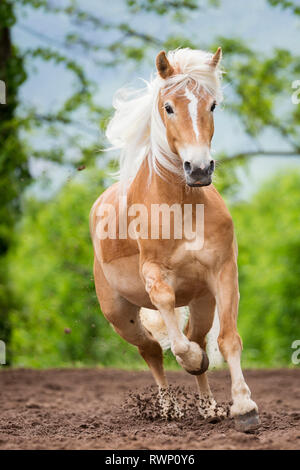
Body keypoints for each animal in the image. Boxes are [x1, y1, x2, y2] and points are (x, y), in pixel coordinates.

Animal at [89, 47, 260, 434]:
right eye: (168, 107)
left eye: (212, 105)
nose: (198, 169)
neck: (181, 207)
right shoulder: (154, 274)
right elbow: (174, 329)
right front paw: (191, 361)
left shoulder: (223, 273)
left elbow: (228, 340)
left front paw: (244, 407)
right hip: (120, 315)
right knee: (151, 349)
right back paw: (169, 409)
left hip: (201, 302)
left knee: (196, 337)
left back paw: (209, 407)